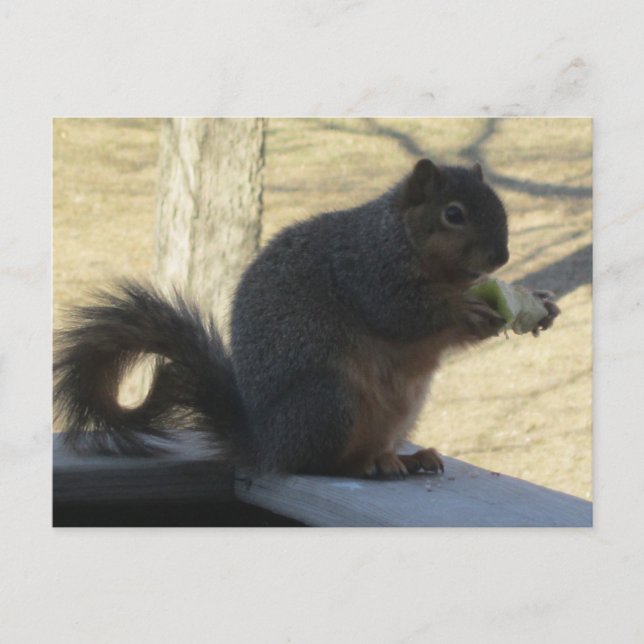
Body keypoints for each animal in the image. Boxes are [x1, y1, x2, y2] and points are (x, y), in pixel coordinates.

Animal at [54, 159, 560, 479]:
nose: (501, 257)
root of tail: (267, 443)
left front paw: (539, 302)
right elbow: (401, 313)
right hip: (328, 400)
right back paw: (362, 465)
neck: (400, 236)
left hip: (401, 411)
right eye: (453, 214)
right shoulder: (366, 270)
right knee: (314, 464)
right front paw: (469, 308)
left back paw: (405, 459)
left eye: (499, 205)